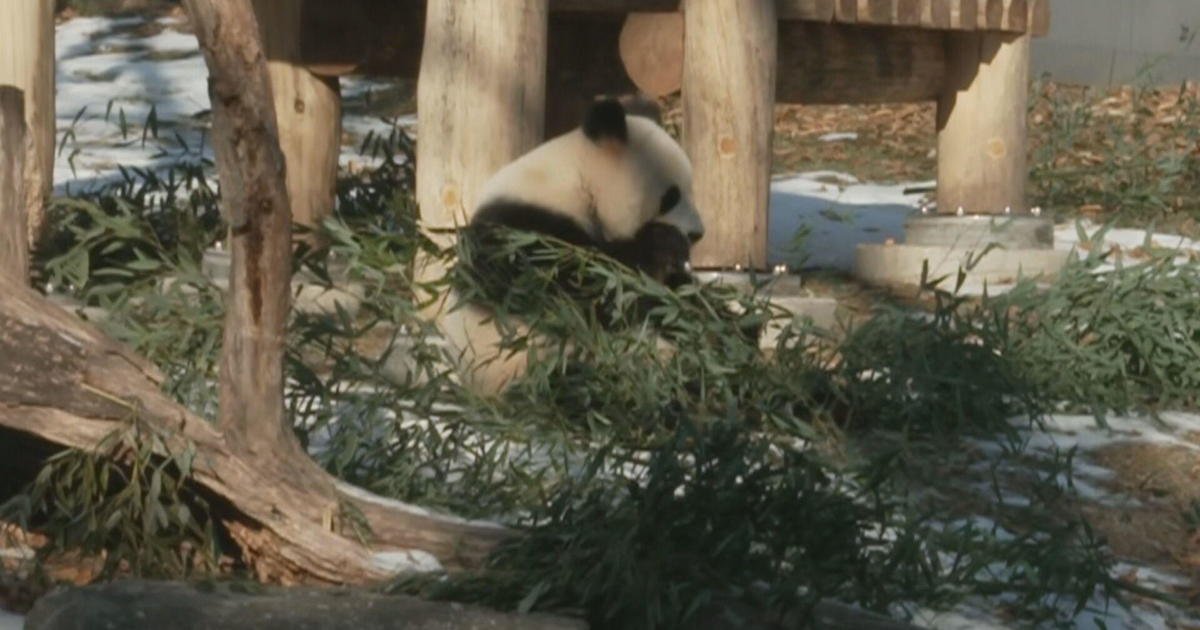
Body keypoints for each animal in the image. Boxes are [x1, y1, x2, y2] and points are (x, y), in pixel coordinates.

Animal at [439, 97, 700, 393]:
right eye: (671, 196)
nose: (697, 233)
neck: (576, 179)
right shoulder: (520, 234)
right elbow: (582, 293)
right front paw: (664, 245)